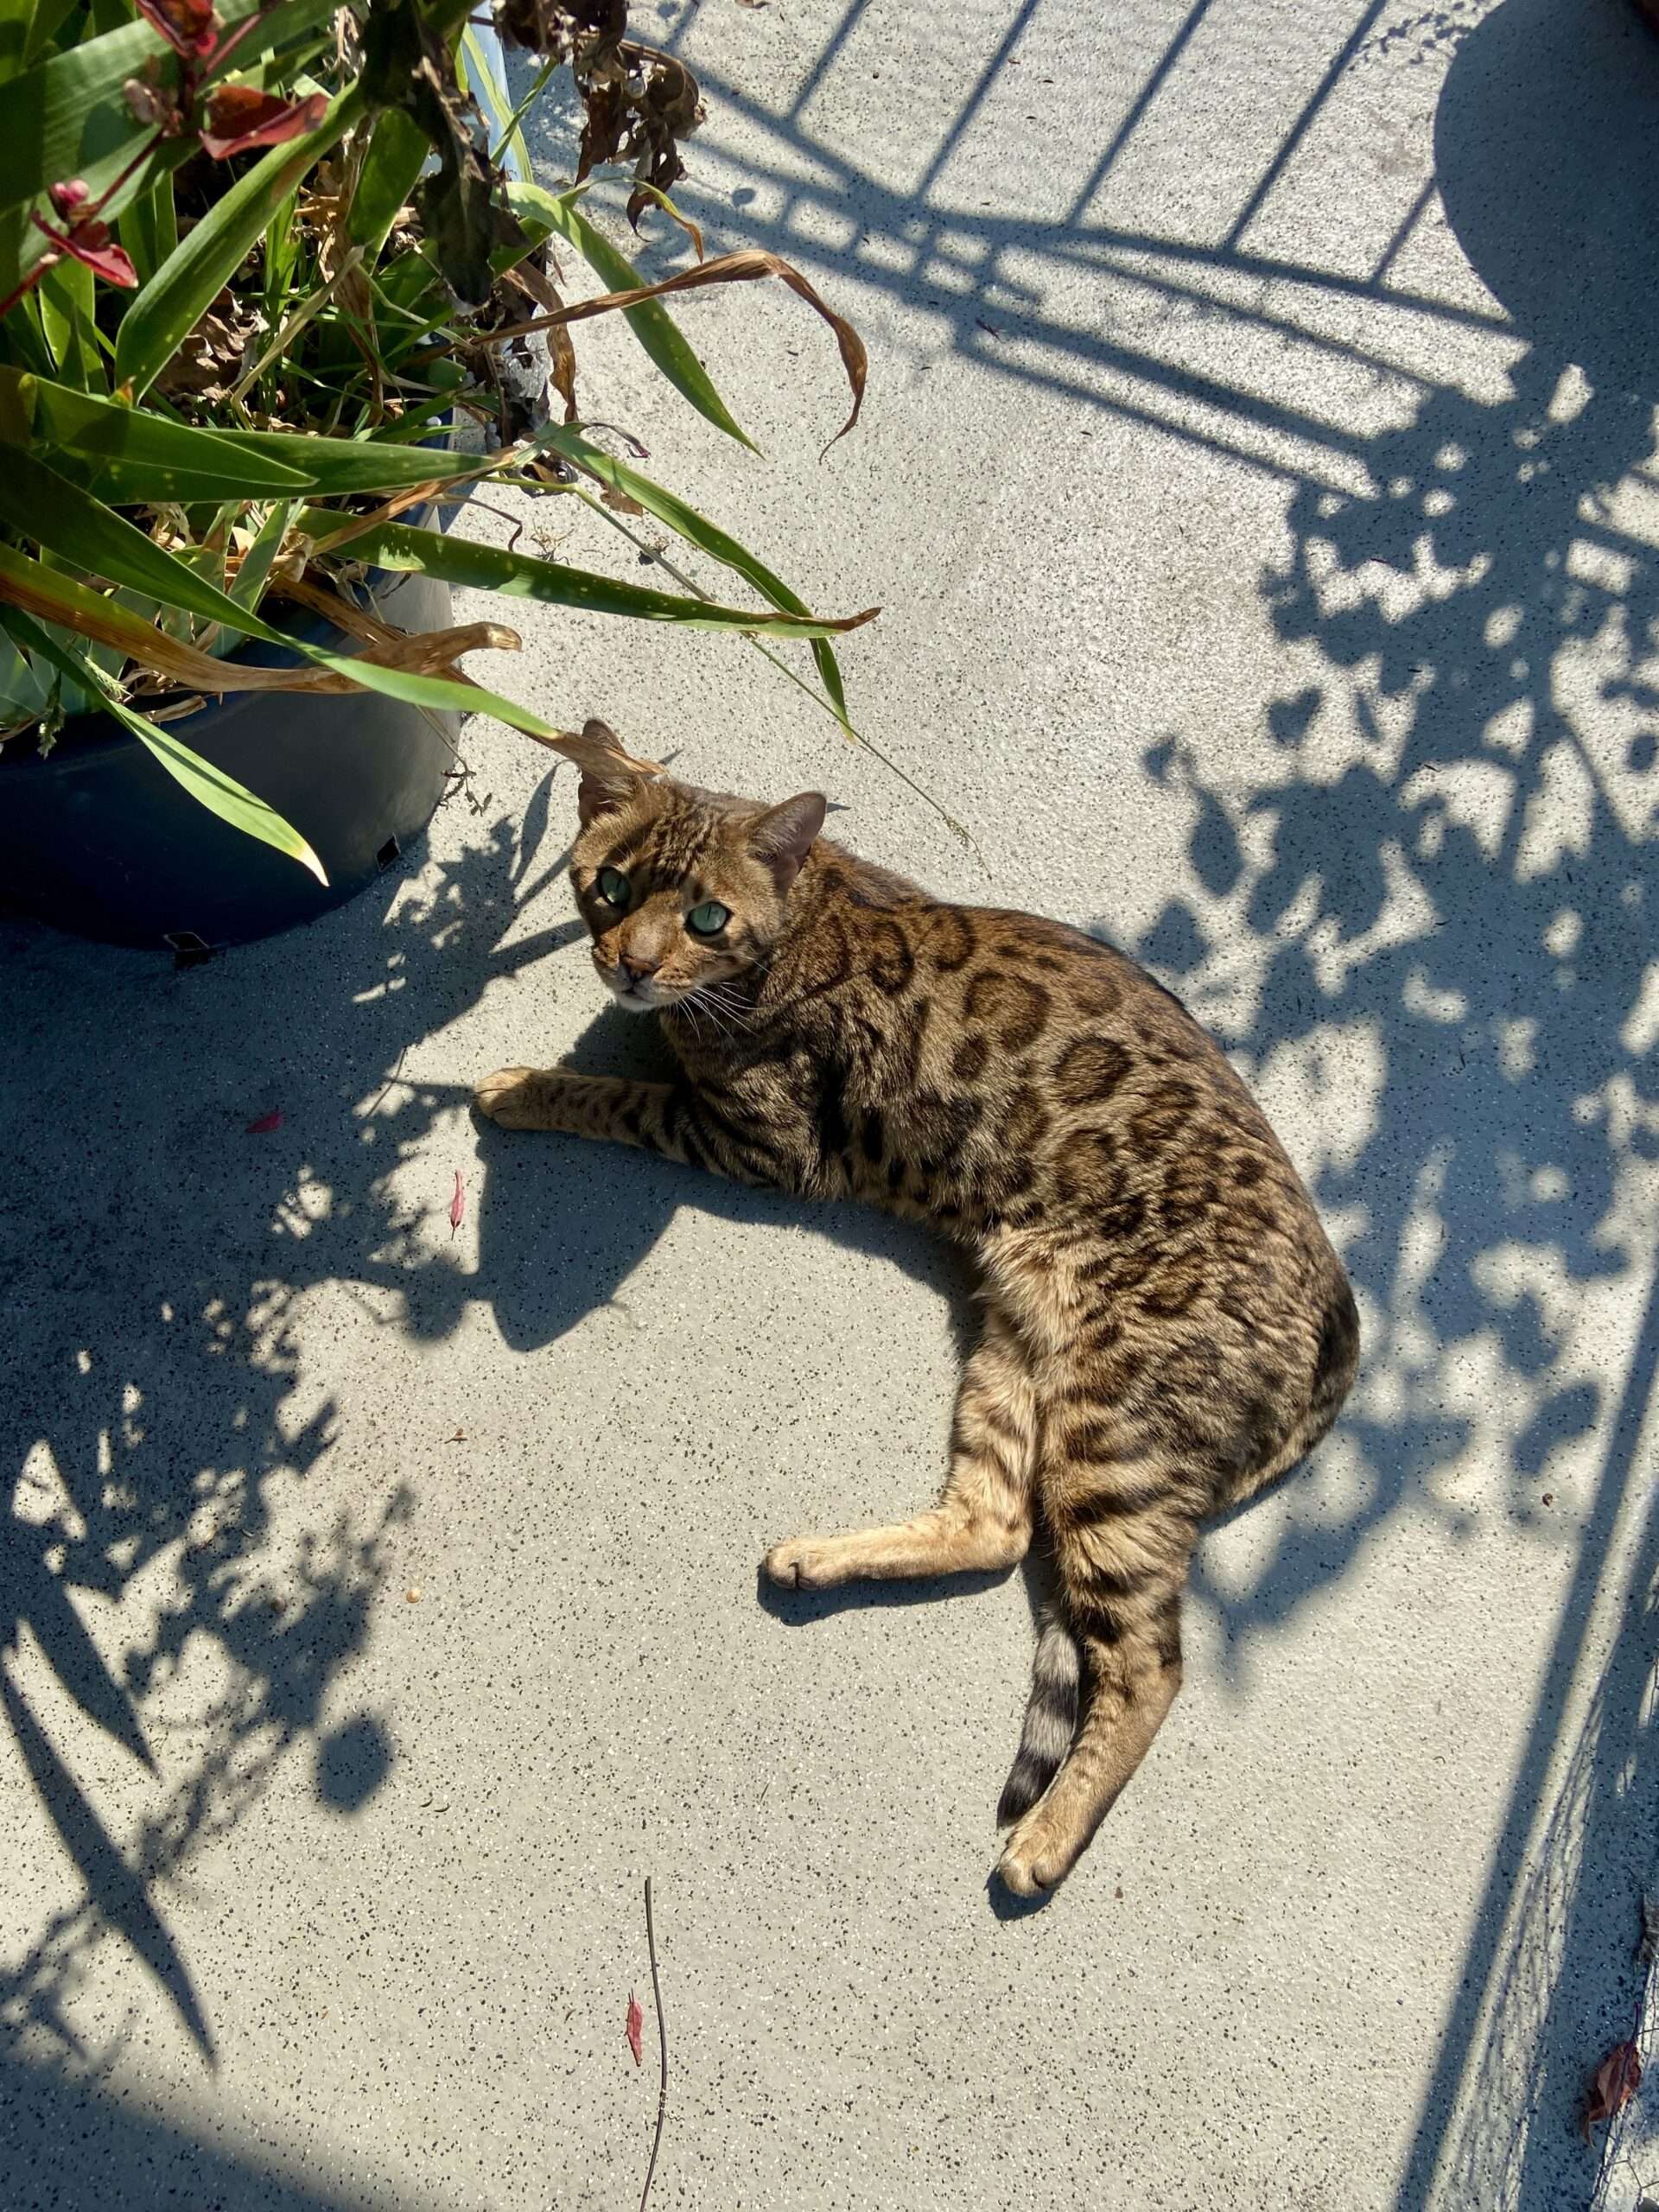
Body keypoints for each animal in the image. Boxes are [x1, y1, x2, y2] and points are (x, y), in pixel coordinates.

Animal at [473, 725, 1353, 1902]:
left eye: (706, 918)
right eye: (607, 886)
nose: (631, 962)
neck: (805, 919)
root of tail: (1343, 1329)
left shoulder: (760, 1142)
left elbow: (616, 1096)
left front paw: (523, 1086)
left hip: (1114, 1430)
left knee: (1148, 1661)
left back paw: (1045, 1840)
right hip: (1015, 1357)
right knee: (994, 1527)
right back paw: (820, 1557)